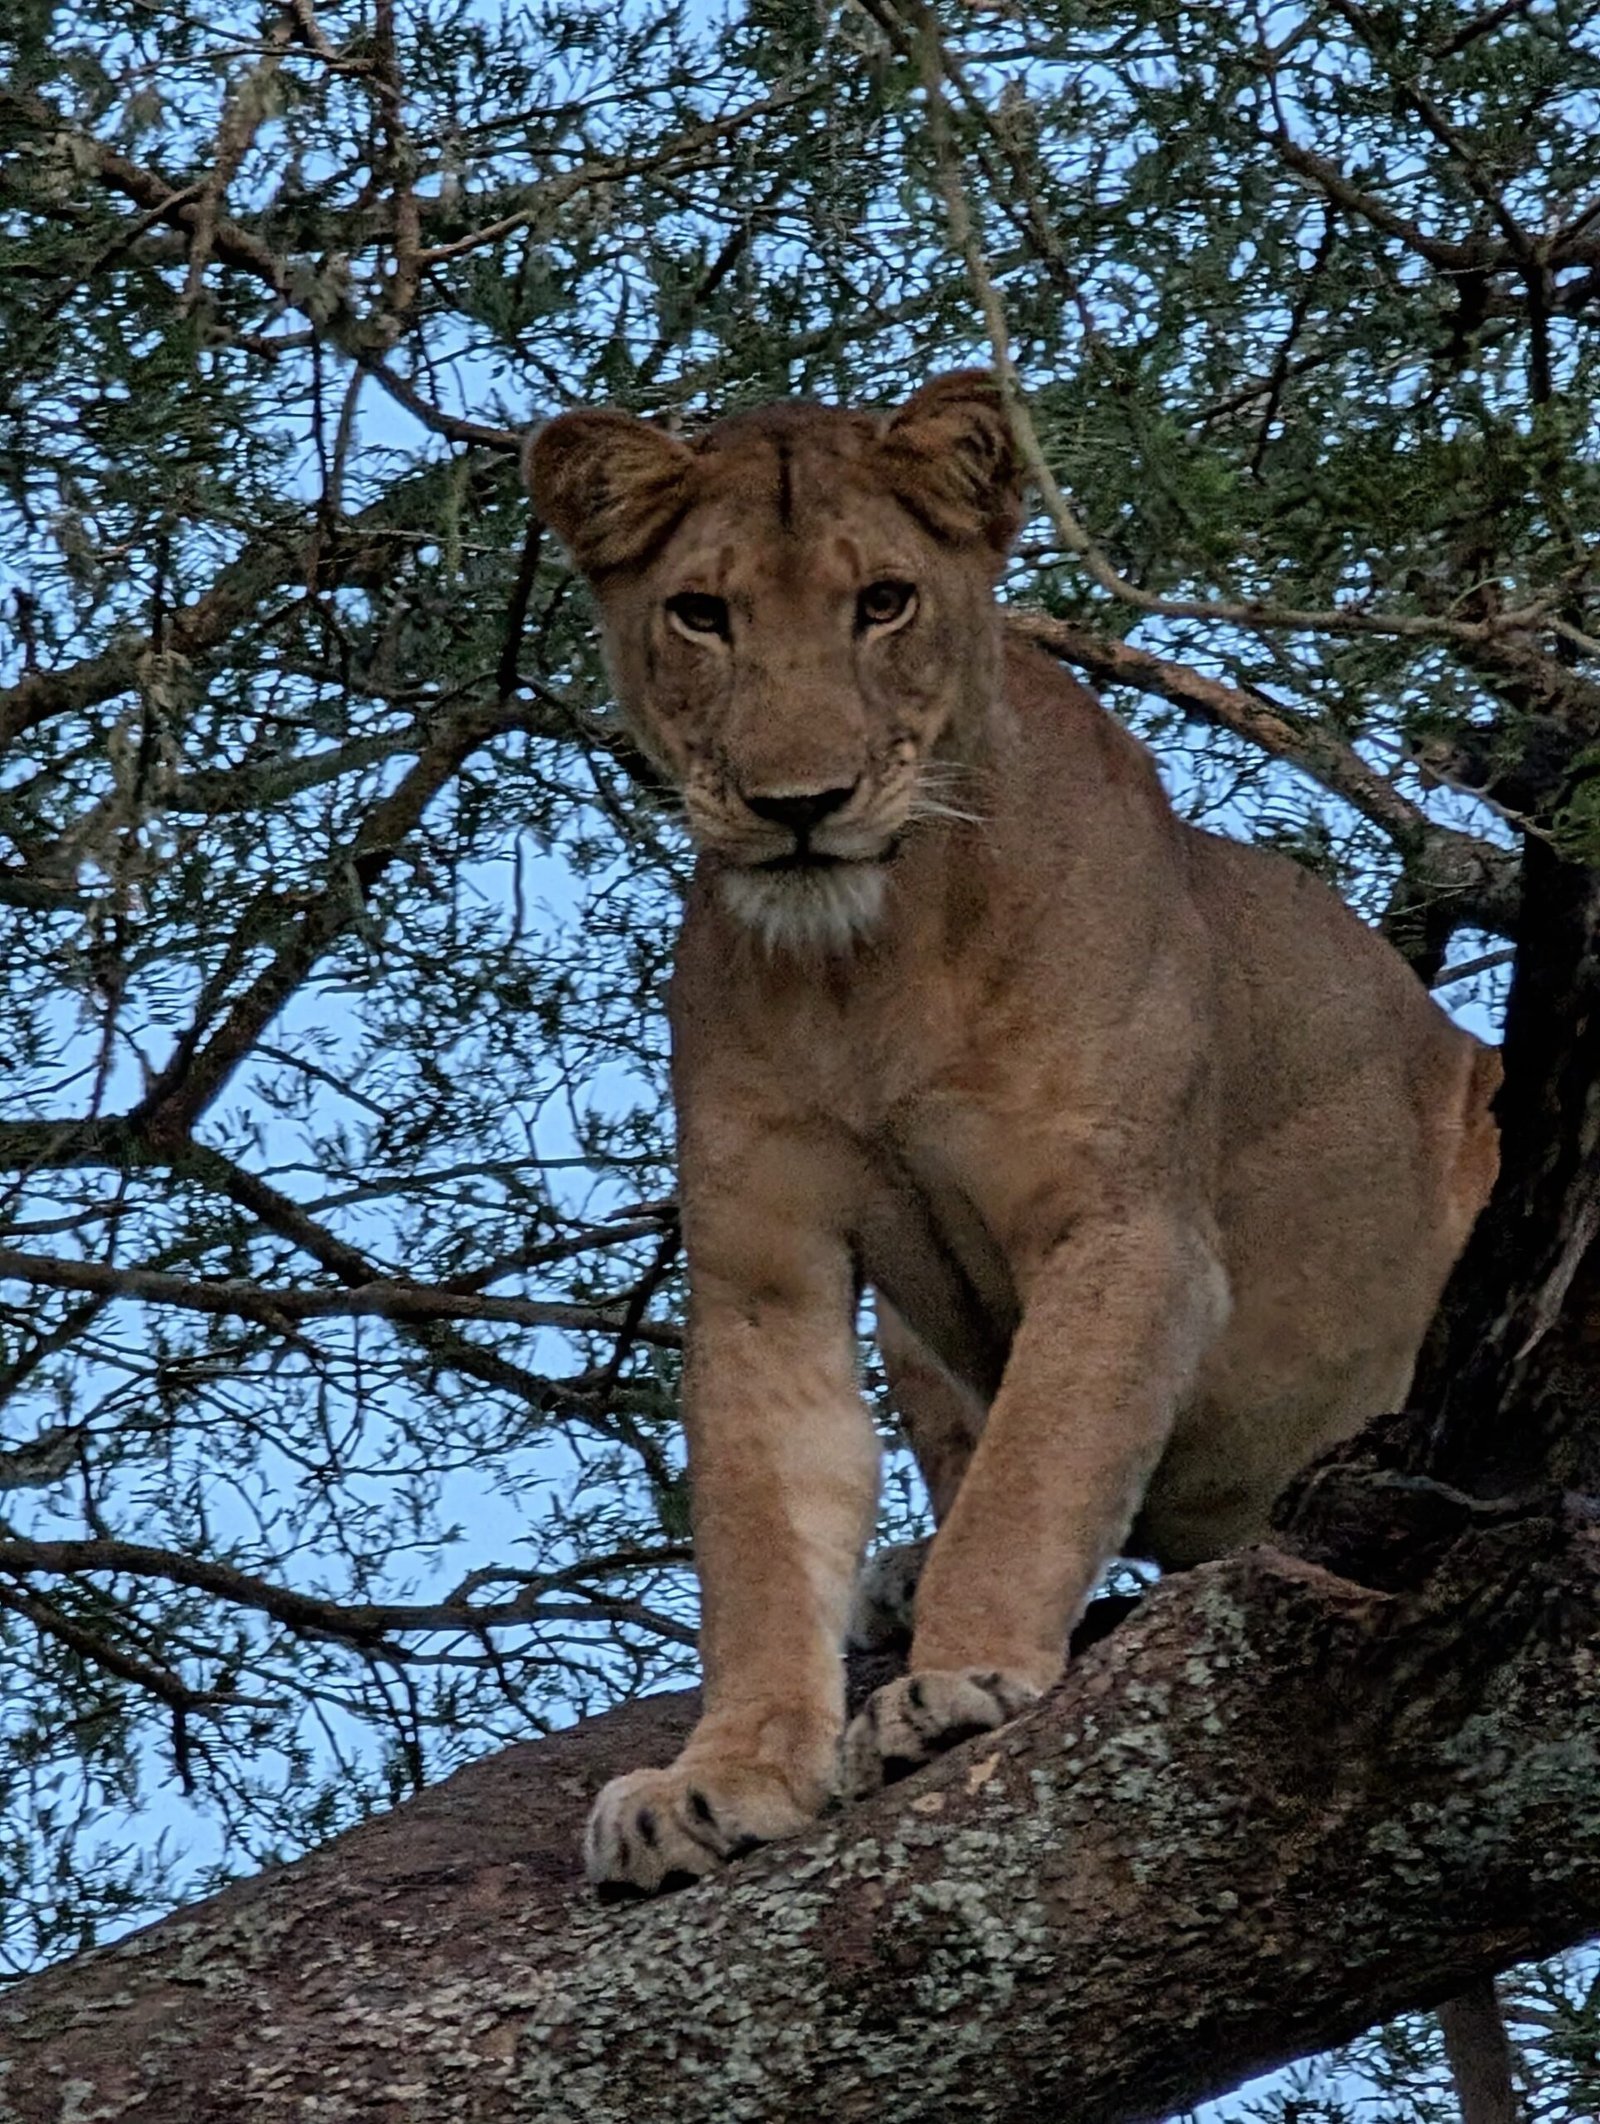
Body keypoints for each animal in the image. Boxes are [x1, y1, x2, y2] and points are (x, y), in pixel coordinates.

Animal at [526, 372, 1502, 1897]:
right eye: (701, 614)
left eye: (883, 602)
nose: (798, 807)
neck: (865, 966)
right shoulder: (764, 1273)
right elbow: (759, 1535)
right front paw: (720, 1779)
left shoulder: (1125, 1228)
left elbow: (1037, 1470)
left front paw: (960, 1686)